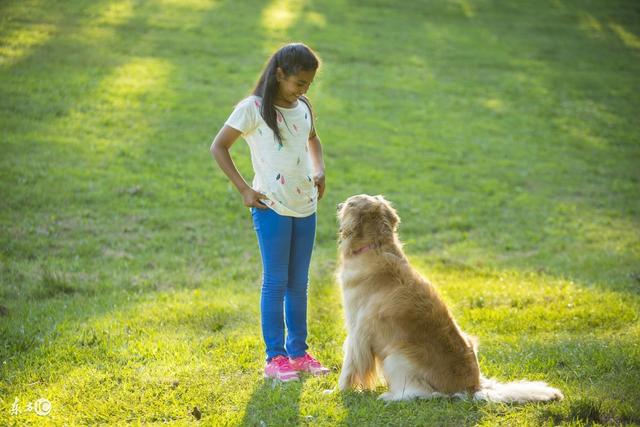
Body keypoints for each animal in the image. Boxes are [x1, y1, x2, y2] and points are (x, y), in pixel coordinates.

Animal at [338, 196, 564, 402]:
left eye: (349, 203)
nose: (338, 204)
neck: (376, 247)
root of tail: (474, 387)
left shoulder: (357, 334)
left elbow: (348, 368)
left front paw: (338, 392)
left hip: (396, 357)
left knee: (421, 393)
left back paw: (391, 397)